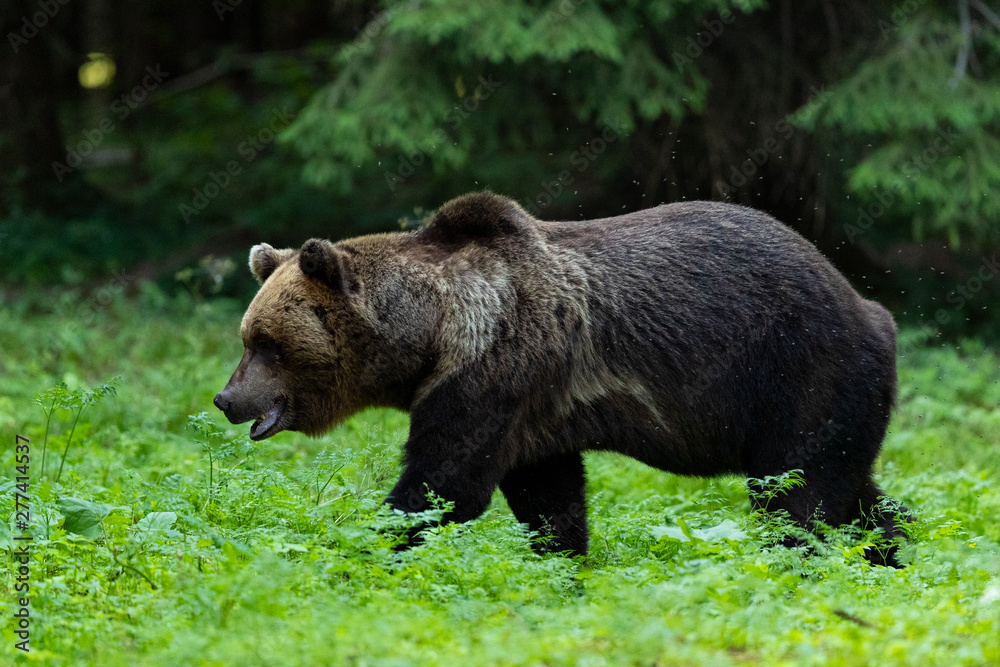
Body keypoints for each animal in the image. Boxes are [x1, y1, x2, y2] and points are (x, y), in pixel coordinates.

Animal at [215, 190, 912, 568]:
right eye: (248, 338)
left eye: (268, 344)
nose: (226, 398)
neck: (433, 333)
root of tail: (870, 308)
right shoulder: (533, 416)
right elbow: (549, 502)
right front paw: (564, 567)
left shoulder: (493, 368)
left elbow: (443, 486)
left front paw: (371, 554)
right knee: (852, 489)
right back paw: (893, 555)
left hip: (803, 370)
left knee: (797, 494)